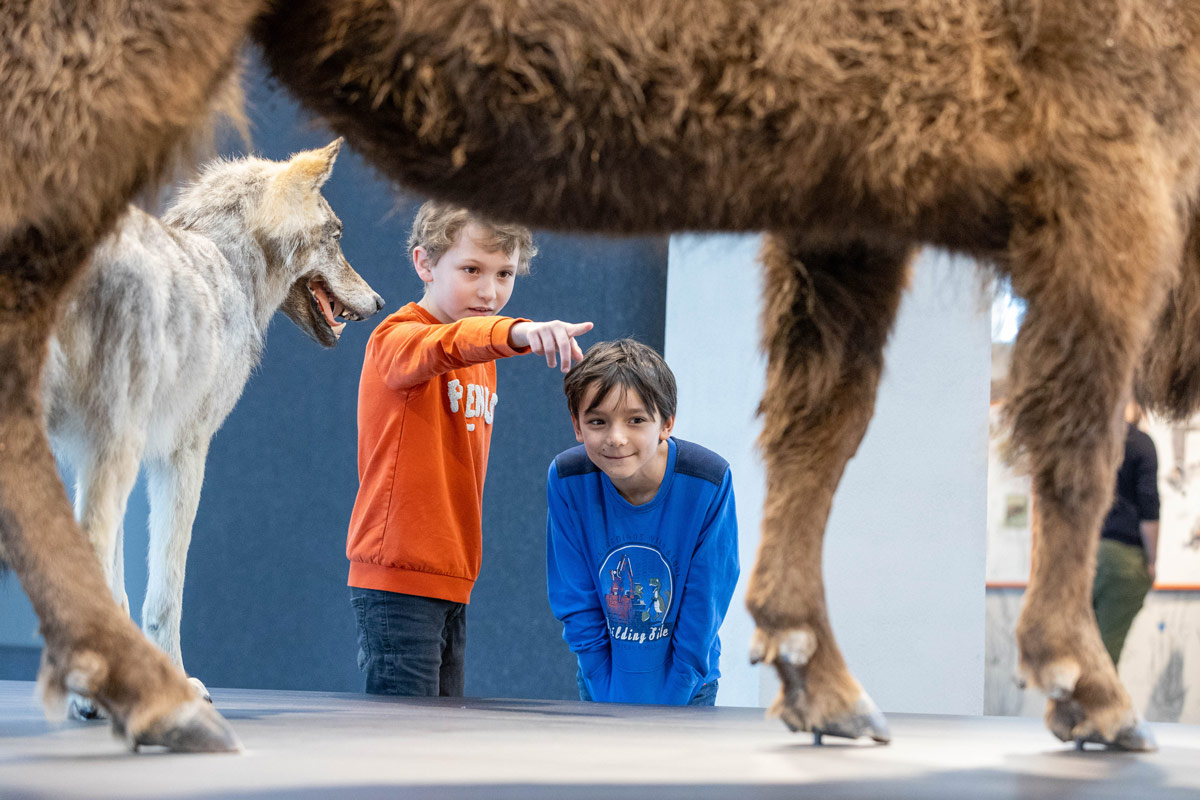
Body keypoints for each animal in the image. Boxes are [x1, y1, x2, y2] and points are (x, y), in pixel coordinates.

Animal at [39, 140, 384, 724]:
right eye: (338, 235)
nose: (381, 302)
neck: (225, 265)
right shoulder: (182, 454)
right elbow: (164, 594)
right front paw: (175, 686)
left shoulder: (95, 459)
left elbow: (119, 588)